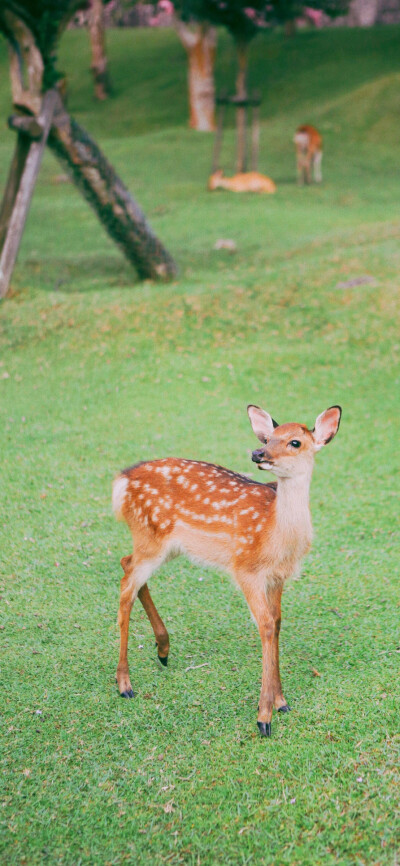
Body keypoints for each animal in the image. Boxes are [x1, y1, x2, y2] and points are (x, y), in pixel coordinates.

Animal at [111, 404, 340, 736]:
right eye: (268, 437)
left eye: (295, 442)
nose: (258, 453)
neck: (276, 536)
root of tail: (122, 480)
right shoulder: (245, 568)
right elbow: (265, 626)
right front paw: (264, 717)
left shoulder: (278, 577)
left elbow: (277, 623)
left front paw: (281, 702)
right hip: (150, 536)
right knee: (126, 586)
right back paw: (125, 684)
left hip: (163, 545)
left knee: (127, 564)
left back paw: (163, 650)